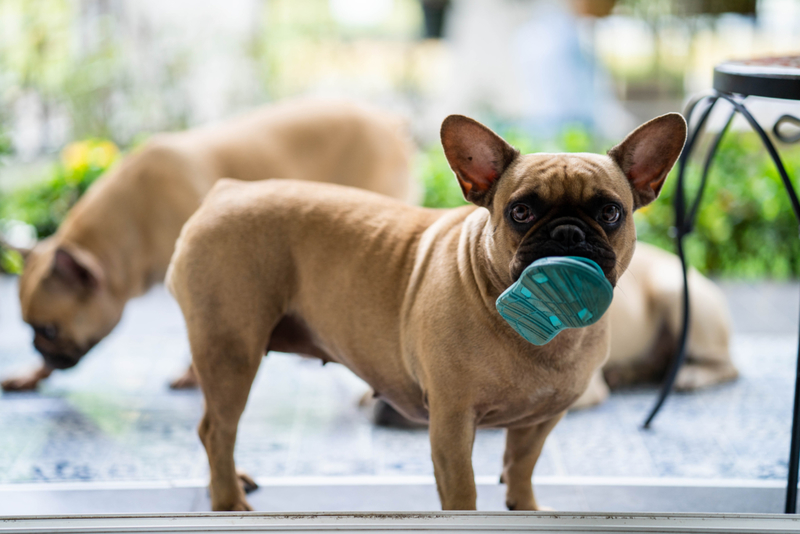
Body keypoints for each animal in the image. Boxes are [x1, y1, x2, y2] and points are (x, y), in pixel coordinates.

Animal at [6, 100, 416, 392]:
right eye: (31, 327)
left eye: (50, 331)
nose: (37, 347)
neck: (133, 223)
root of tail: (388, 119)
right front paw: (32, 374)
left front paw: (193, 375)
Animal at [169, 112, 688, 510]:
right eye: (520, 212)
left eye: (609, 213)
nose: (566, 232)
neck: (539, 327)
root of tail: (226, 192)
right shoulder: (452, 425)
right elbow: (463, 492)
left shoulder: (540, 421)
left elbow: (521, 466)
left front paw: (525, 507)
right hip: (232, 352)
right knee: (217, 430)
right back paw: (228, 501)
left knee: (210, 428)